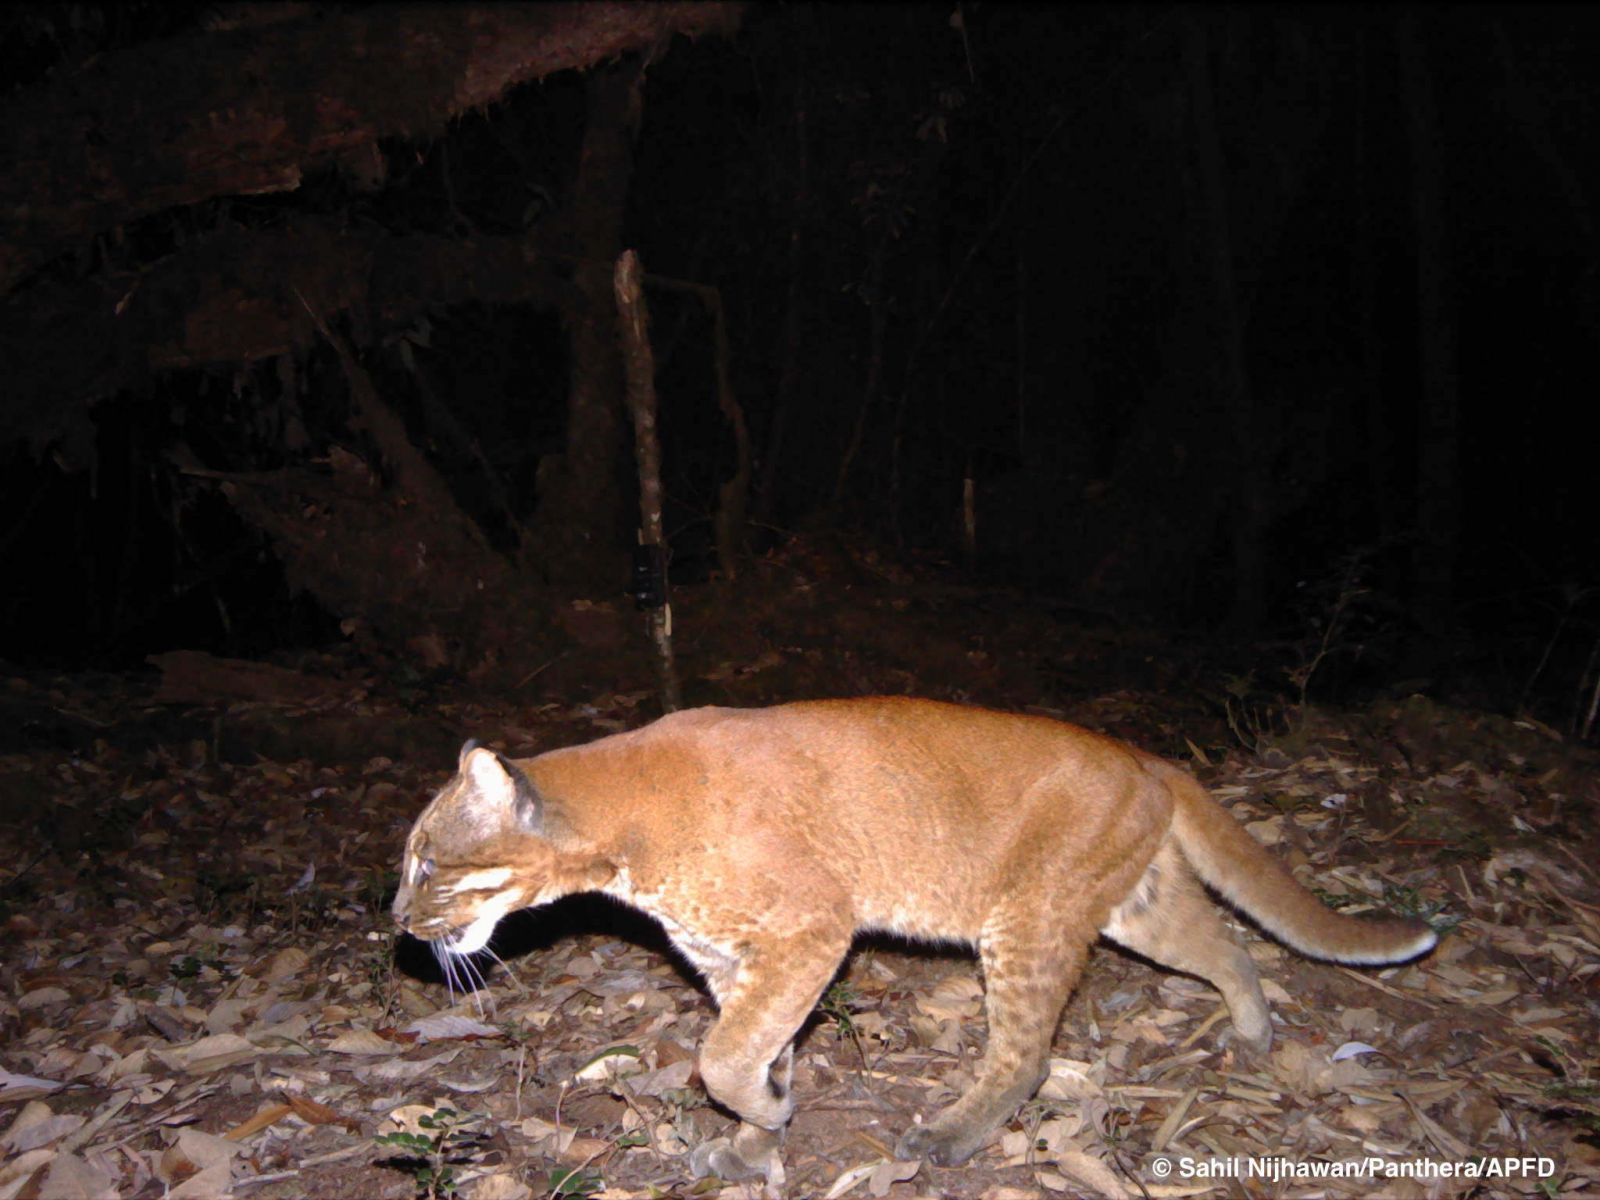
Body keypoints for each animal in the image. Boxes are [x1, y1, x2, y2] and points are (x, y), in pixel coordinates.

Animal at [390, 700, 1440, 1190]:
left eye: (426, 860)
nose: (395, 923)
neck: (617, 832)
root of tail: (1145, 755)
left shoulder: (812, 928)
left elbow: (721, 1054)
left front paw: (762, 1118)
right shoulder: (738, 957)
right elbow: (755, 1042)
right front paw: (761, 1129)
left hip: (1026, 922)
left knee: (1025, 1055)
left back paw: (948, 1135)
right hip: (1132, 906)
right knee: (1228, 946)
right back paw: (1253, 1033)